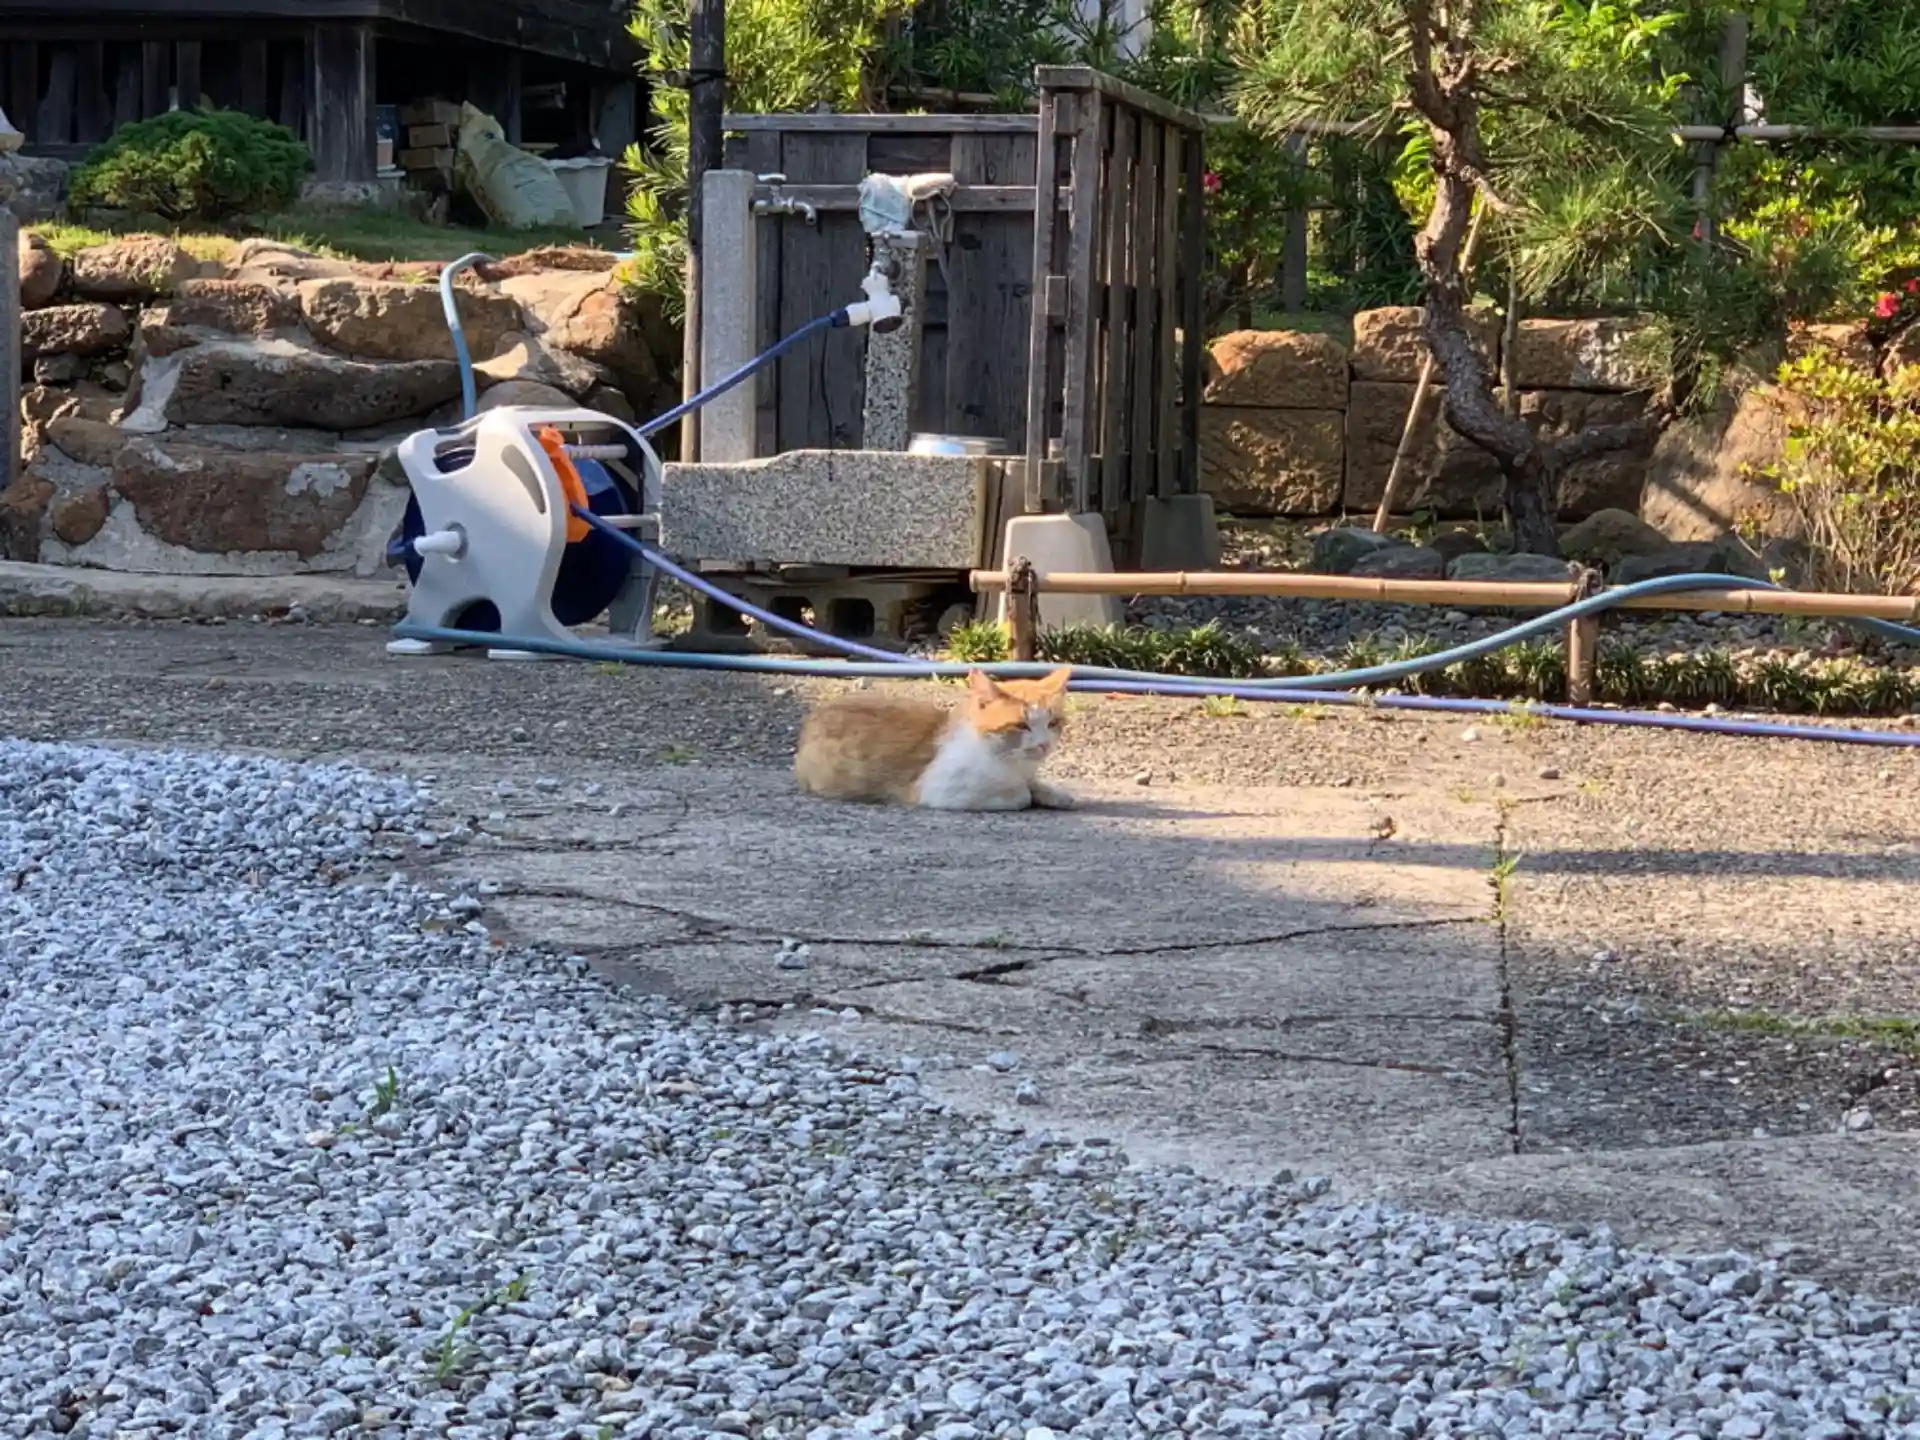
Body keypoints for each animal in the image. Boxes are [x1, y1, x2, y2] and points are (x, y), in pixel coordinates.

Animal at [794, 668, 1076, 812]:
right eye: (1020, 725)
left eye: (1052, 723)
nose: (1043, 744)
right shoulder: (941, 791)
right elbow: (1021, 796)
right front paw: (1028, 794)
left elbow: (1034, 785)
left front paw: (1052, 792)